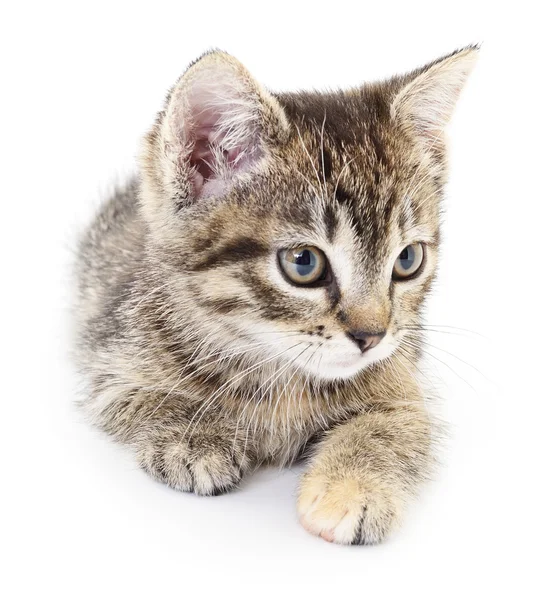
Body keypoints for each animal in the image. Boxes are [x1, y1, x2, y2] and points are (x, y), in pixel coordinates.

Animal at [73, 47, 476, 544]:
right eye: (304, 263)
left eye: (408, 259)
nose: (371, 336)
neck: (276, 370)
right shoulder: (109, 359)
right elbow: (143, 397)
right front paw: (195, 438)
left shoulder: (403, 378)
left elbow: (396, 425)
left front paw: (353, 488)